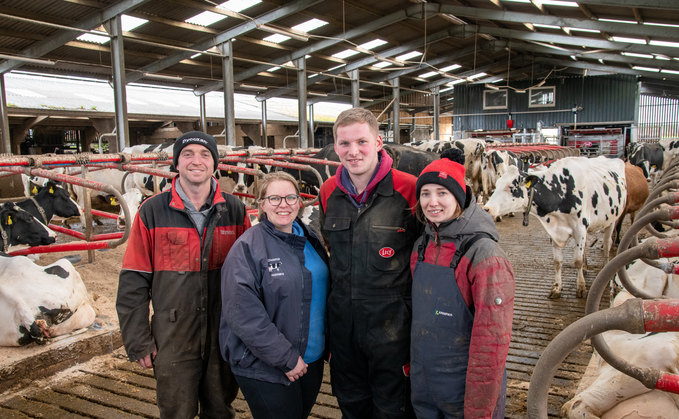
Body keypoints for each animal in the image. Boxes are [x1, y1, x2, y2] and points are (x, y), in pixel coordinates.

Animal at [484, 157, 628, 298]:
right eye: (497, 184)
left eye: (510, 187)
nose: (486, 208)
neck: (559, 192)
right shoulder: (554, 231)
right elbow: (557, 262)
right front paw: (557, 288)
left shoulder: (580, 229)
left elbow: (577, 261)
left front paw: (581, 288)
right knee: (586, 245)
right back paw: (585, 268)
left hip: (611, 221)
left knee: (607, 245)